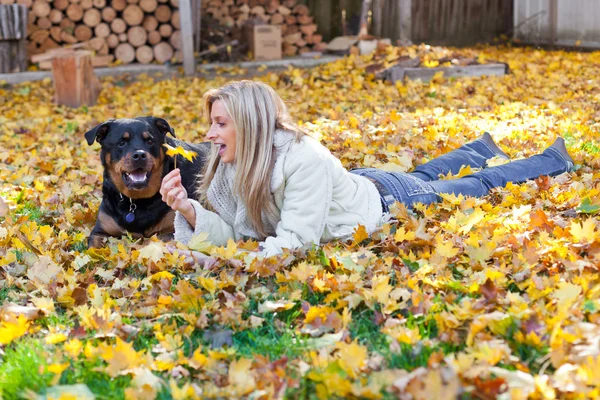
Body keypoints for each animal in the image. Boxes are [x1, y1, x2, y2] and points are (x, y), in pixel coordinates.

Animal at [85, 116, 211, 247]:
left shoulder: (172, 232)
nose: (140, 155)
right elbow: (93, 249)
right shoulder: (99, 232)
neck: (138, 200)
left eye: (150, 141)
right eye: (121, 143)